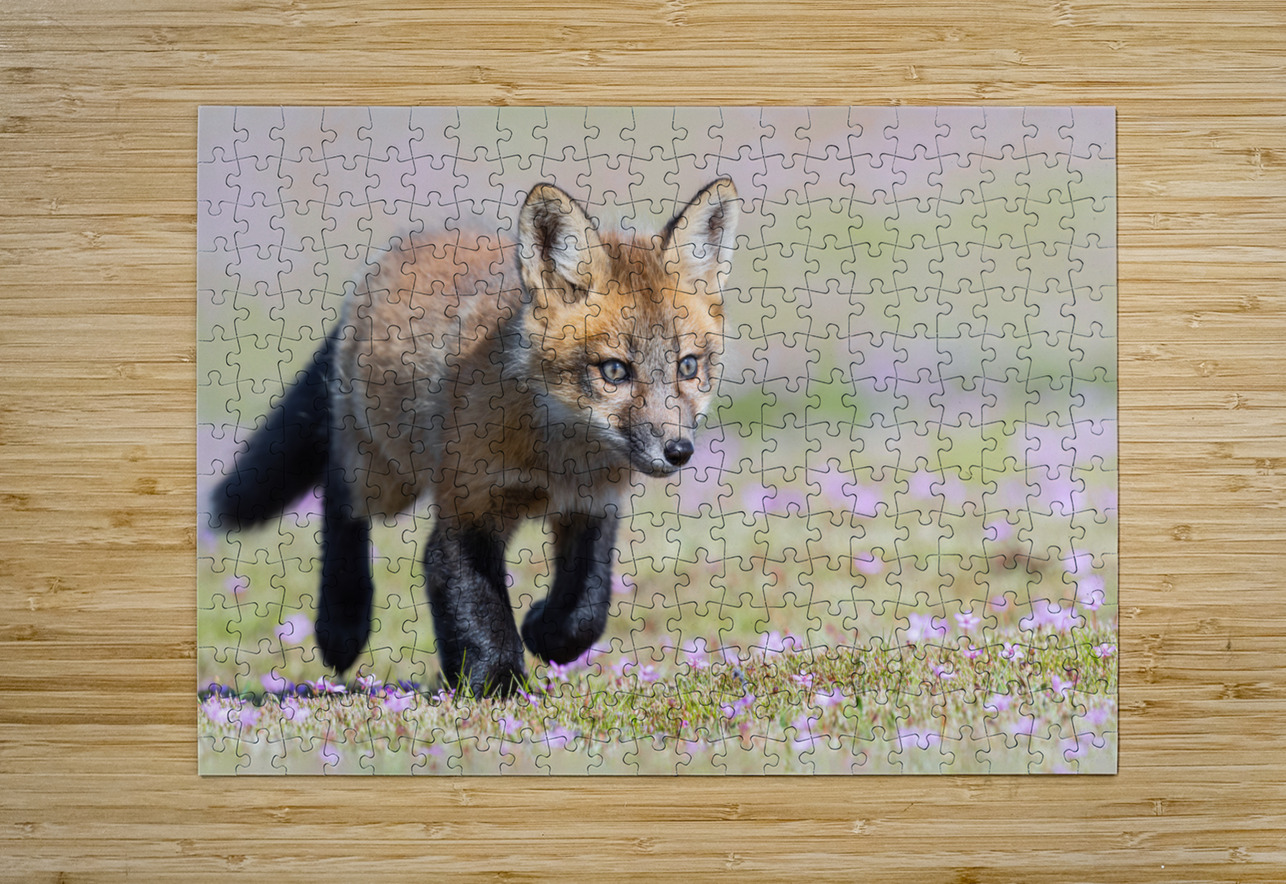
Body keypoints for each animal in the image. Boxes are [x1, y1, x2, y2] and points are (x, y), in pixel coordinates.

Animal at [211, 178, 739, 697]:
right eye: (614, 371)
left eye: (688, 366)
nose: (679, 451)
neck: (557, 460)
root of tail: (407, 243)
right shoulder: (467, 511)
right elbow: (476, 607)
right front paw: (494, 684)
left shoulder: (591, 508)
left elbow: (584, 611)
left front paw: (543, 633)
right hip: (388, 478)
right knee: (338, 496)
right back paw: (342, 625)